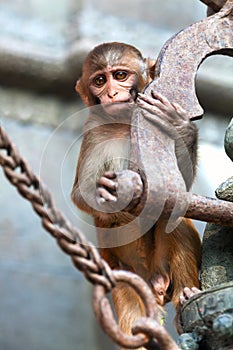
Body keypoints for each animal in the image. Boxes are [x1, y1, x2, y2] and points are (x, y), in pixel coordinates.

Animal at [72, 41, 201, 342]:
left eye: (120, 75)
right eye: (99, 80)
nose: (111, 93)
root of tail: (154, 281)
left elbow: (178, 190)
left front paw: (179, 127)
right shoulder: (93, 133)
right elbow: (80, 194)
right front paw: (116, 194)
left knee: (175, 218)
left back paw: (186, 296)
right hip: (124, 273)